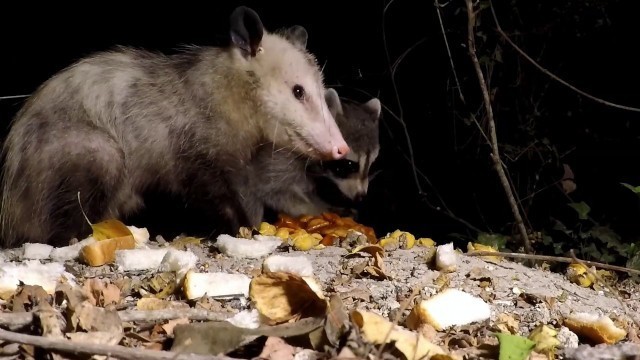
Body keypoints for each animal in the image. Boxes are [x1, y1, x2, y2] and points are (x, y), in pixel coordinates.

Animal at [0, 6, 350, 248]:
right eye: (298, 91)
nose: (341, 148)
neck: (222, 93)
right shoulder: (192, 153)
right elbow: (211, 195)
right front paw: (239, 226)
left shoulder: (238, 164)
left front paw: (255, 222)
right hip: (91, 152)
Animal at [235, 86, 380, 225]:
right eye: (350, 164)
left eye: (371, 165)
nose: (360, 196)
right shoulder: (277, 158)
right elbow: (272, 190)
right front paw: (322, 210)